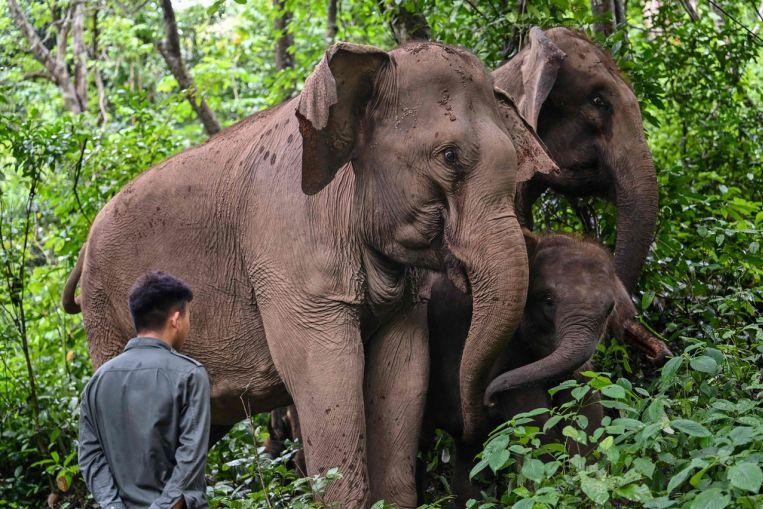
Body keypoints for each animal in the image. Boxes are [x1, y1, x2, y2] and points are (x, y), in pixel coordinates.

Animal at [61, 41, 556, 506]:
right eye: (449, 156)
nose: (483, 413)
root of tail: (83, 249)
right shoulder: (287, 246)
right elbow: (324, 374)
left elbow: (403, 371)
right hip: (105, 315)